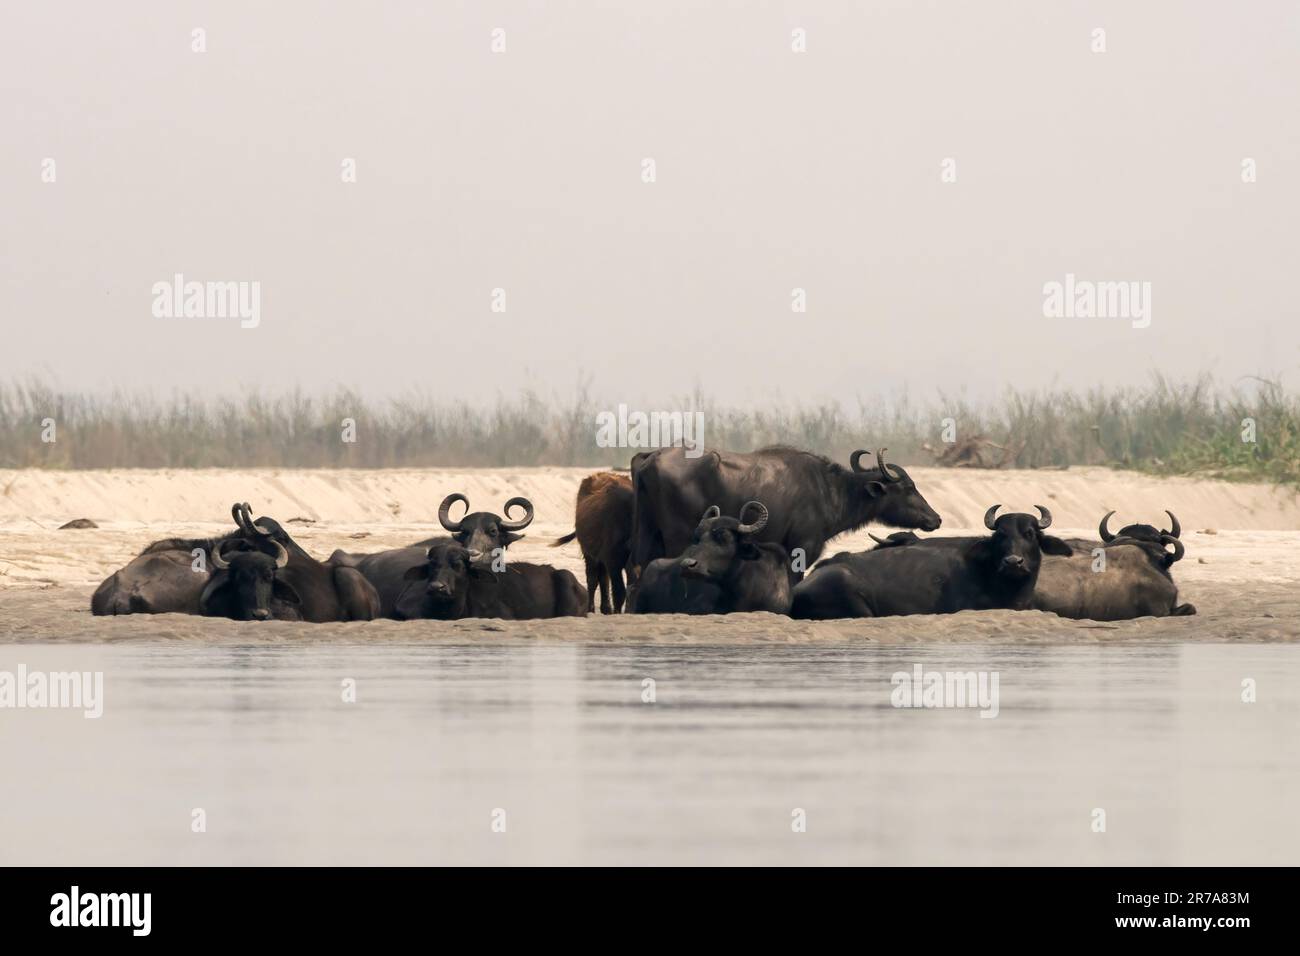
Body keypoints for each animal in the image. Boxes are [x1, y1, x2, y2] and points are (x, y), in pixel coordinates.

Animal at [548, 476, 634, 616]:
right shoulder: (612, 560)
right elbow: (619, 590)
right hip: (589, 553)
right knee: (593, 578)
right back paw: (592, 608)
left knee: (603, 578)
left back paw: (606, 609)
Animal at [626, 447, 935, 580]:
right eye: (909, 487)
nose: (936, 518)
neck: (828, 489)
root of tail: (651, 456)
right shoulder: (802, 548)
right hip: (676, 535)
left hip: (646, 529)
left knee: (636, 566)